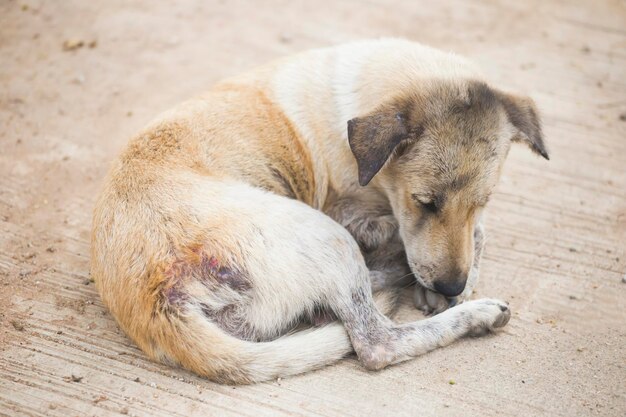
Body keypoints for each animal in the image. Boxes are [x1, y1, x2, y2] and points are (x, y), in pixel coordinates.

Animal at [90, 39, 548, 384]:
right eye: (425, 202)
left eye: (483, 201)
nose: (451, 285)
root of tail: (158, 302)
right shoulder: (351, 217)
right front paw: (454, 289)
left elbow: (476, 233)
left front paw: (452, 279)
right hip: (328, 235)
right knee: (376, 342)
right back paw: (472, 312)